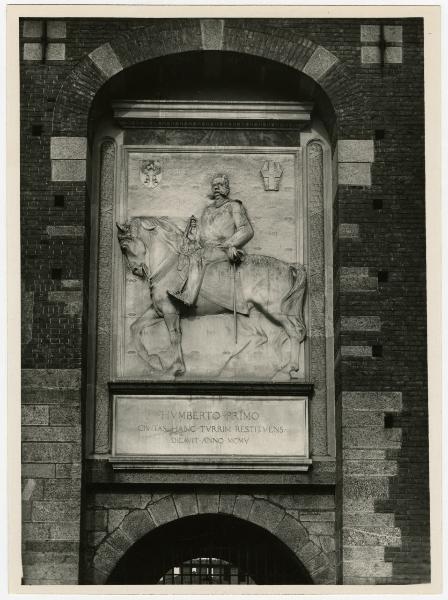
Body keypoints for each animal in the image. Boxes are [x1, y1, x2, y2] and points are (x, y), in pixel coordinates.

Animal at [115, 216, 306, 376]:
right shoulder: (158, 310)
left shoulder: (170, 311)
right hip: (254, 313)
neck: (166, 265)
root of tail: (289, 266)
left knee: (293, 332)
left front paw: (175, 368)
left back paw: (288, 368)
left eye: (124, 247)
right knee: (269, 335)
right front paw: (154, 362)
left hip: (273, 309)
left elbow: (174, 336)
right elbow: (134, 327)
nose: (135, 270)